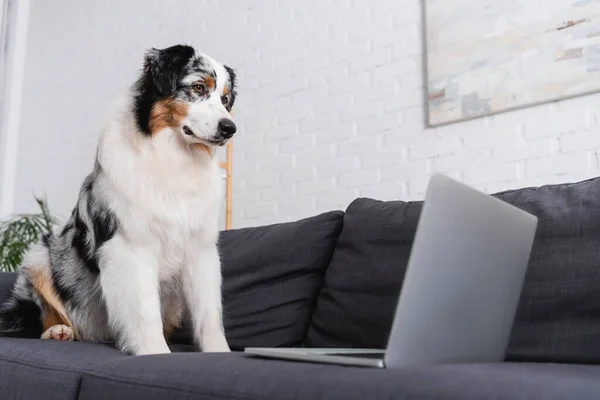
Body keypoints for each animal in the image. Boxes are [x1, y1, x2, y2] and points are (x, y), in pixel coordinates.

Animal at [0, 45, 237, 354]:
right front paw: (154, 353)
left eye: (225, 99)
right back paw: (58, 331)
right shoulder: (130, 244)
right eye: (198, 87)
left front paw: (219, 353)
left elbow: (209, 313)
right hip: (41, 255)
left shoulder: (201, 249)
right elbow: (144, 310)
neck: (173, 157)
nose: (230, 128)